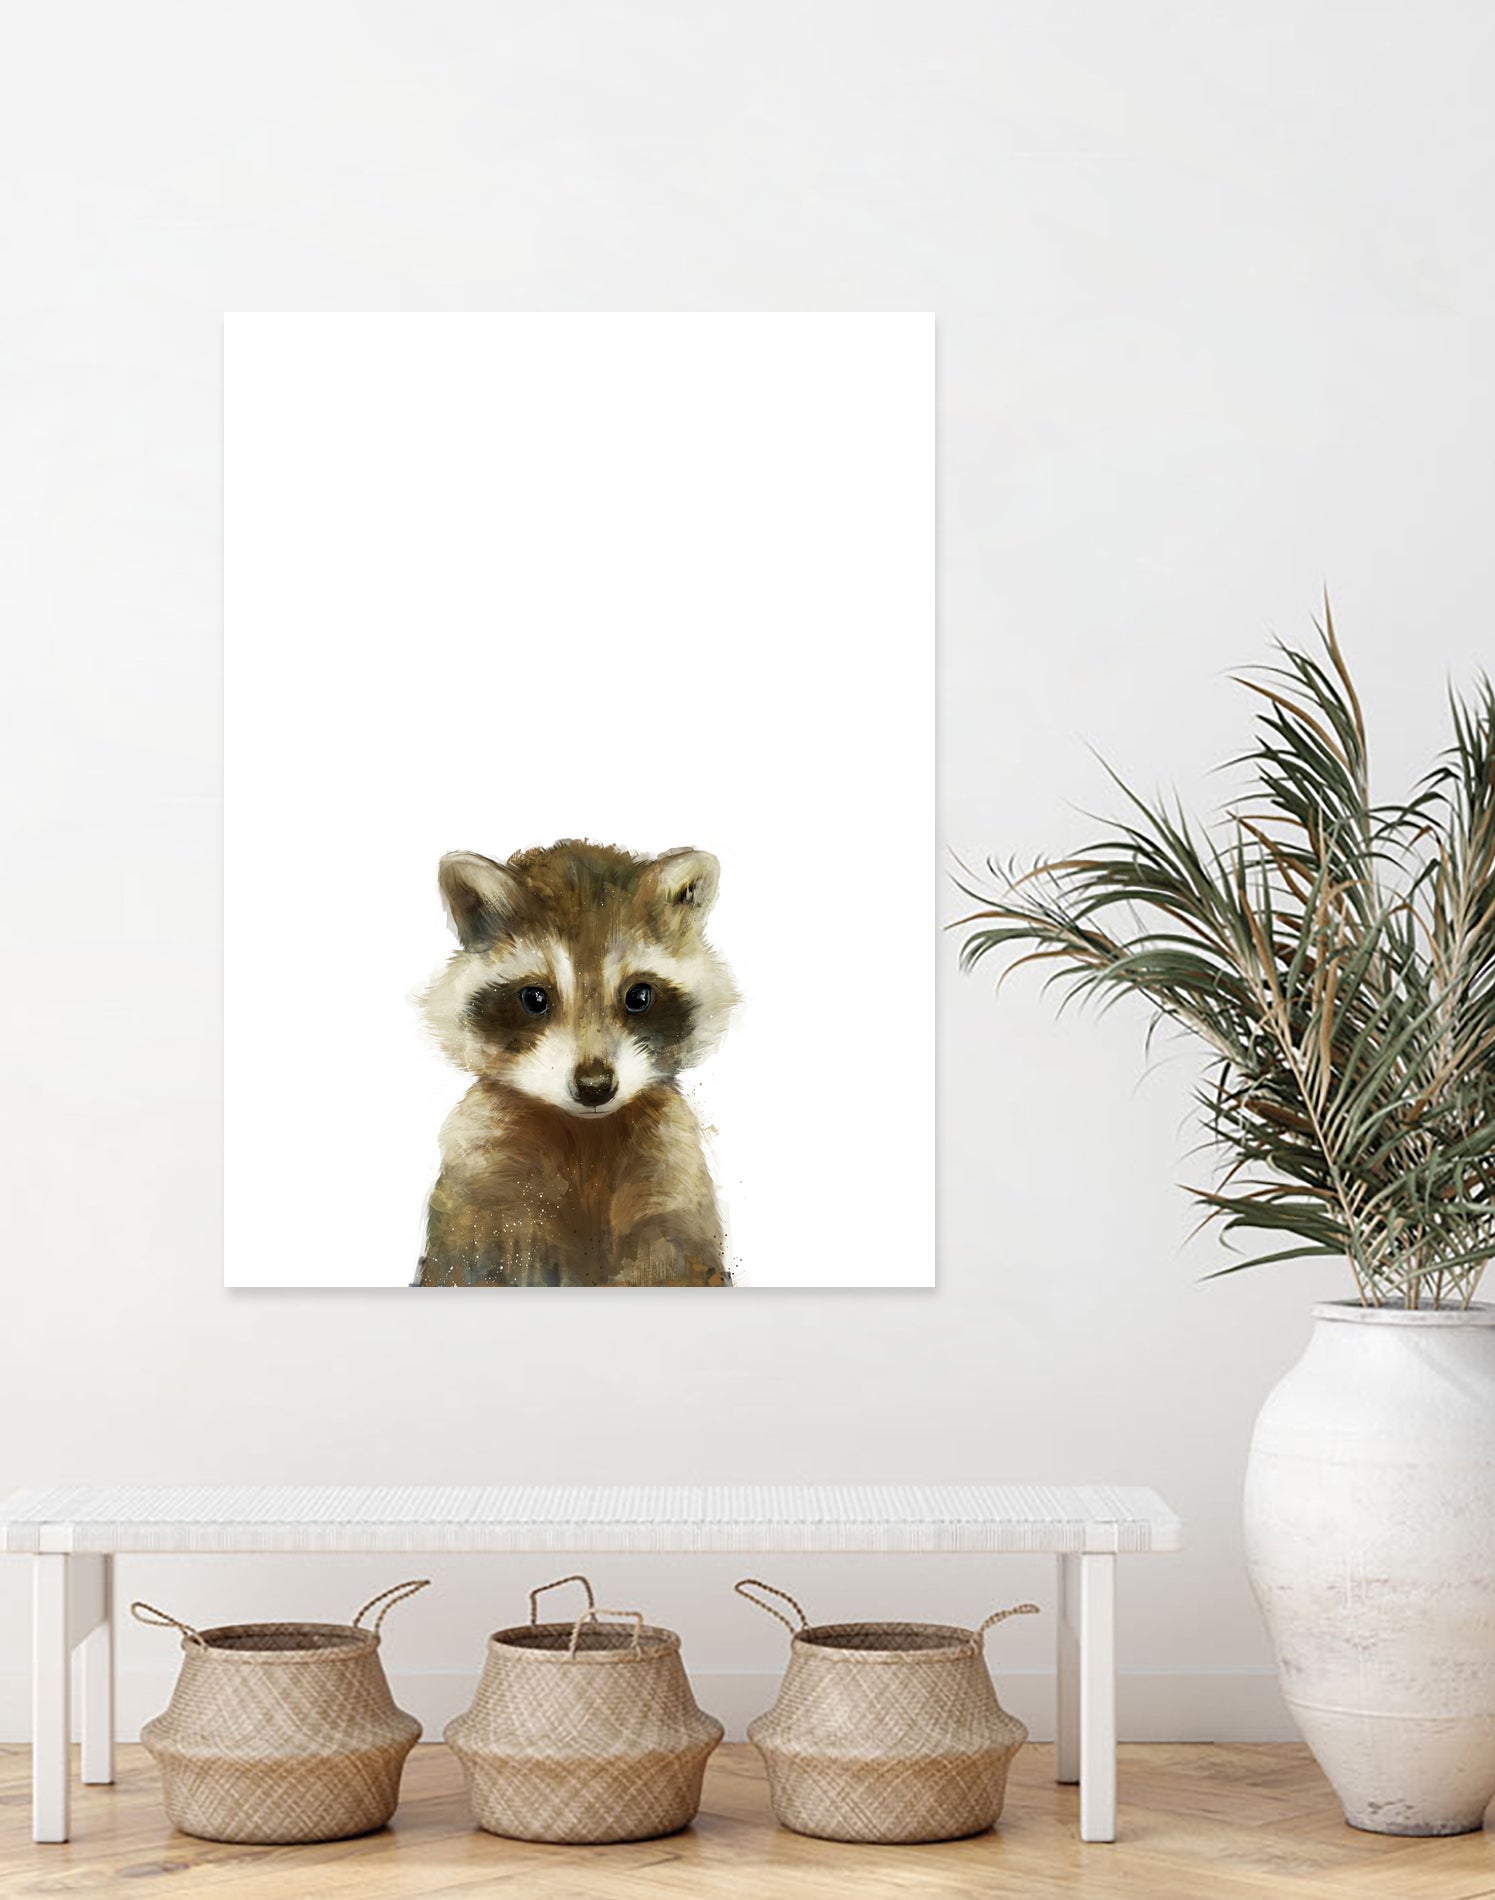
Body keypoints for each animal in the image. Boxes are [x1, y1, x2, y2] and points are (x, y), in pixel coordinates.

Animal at [414, 839, 738, 1287]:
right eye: (535, 998)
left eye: (639, 996)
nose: (594, 1086)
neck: (587, 1135)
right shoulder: (482, 1179)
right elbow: (474, 1260)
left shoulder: (672, 1175)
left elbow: (674, 1260)